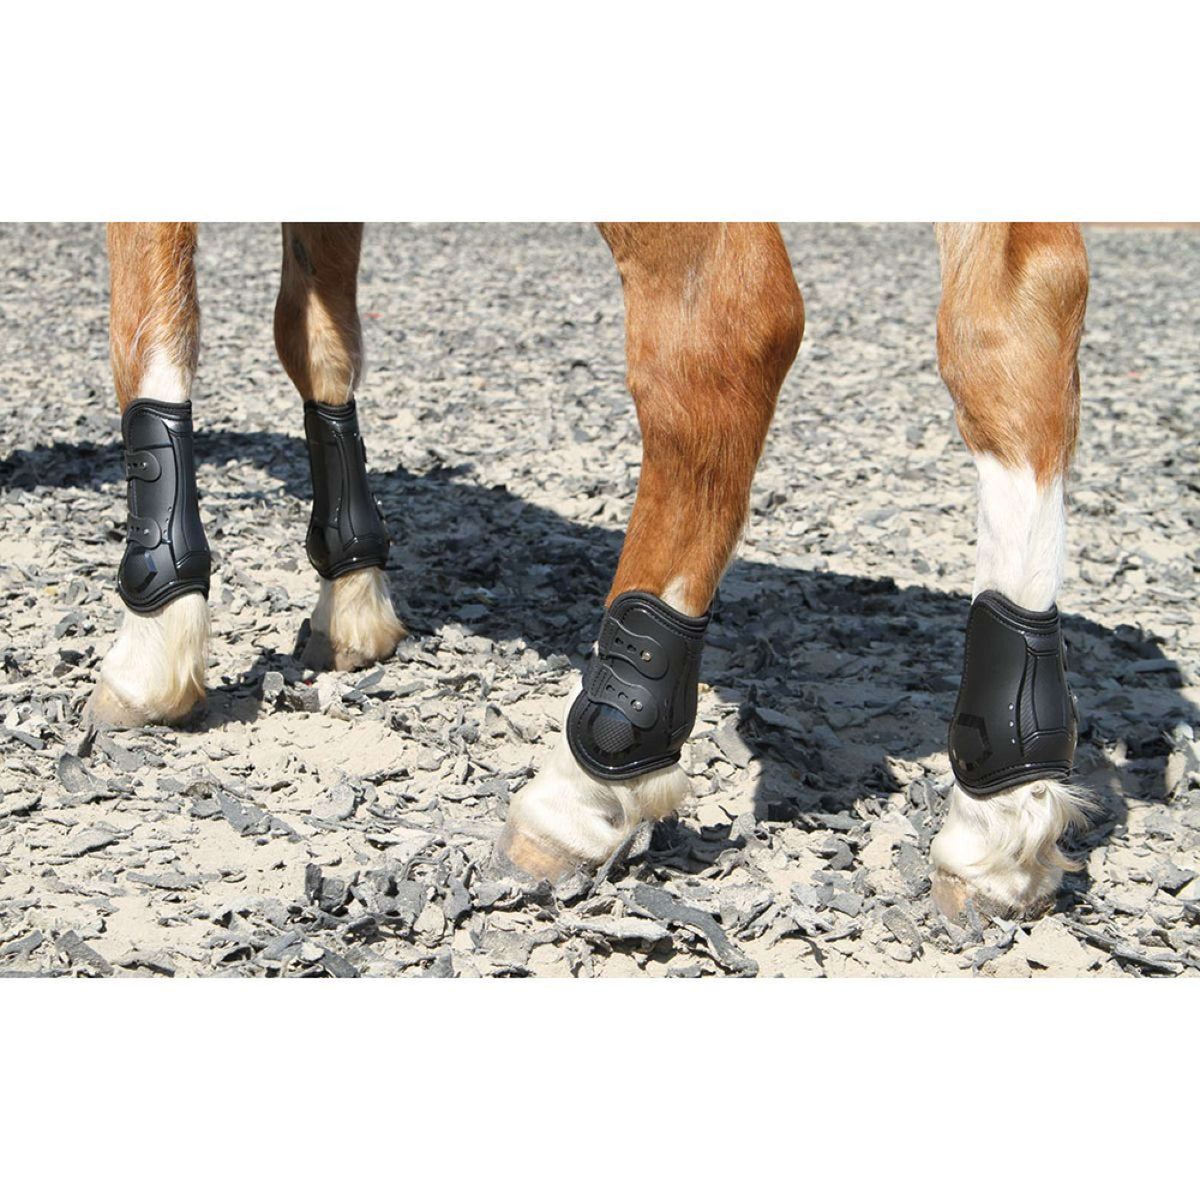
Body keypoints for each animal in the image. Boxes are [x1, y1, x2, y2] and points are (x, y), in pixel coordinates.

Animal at [91, 221, 1093, 924]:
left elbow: (150, 323)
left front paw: (154, 643)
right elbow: (315, 329)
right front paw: (354, 596)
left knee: (720, 325)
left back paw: (582, 790)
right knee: (1018, 308)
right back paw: (1004, 817)